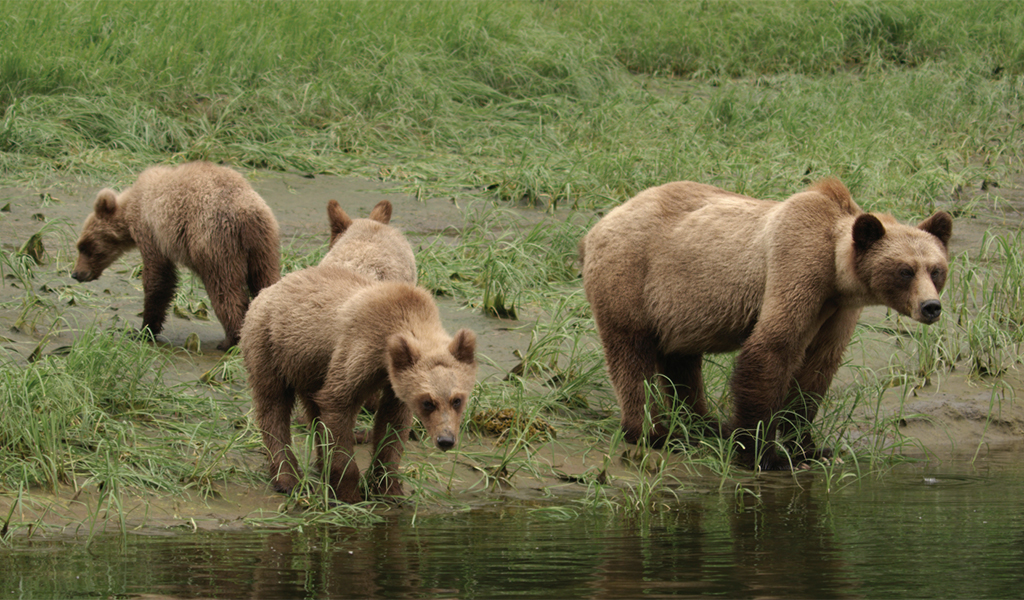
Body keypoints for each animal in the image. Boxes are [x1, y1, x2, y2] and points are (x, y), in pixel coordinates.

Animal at [71, 161, 280, 350]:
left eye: (85, 247)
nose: (76, 274)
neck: (130, 207)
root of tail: (247, 212)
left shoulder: (150, 231)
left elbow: (158, 278)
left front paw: (142, 330)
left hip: (214, 240)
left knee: (225, 288)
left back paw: (230, 340)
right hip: (263, 245)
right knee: (265, 280)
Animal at [239, 264, 477, 503]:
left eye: (457, 400)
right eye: (428, 402)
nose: (445, 440)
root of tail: (270, 289)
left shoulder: (394, 381)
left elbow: (392, 424)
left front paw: (389, 488)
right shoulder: (359, 351)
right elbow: (338, 405)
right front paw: (349, 492)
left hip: (310, 366)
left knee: (313, 408)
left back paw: (321, 468)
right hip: (271, 346)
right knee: (273, 406)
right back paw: (288, 479)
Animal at [579, 178, 952, 470]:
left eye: (936, 269)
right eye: (905, 270)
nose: (931, 307)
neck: (837, 275)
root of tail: (598, 226)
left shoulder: (838, 310)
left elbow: (817, 368)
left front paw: (809, 446)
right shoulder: (796, 265)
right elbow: (773, 348)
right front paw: (760, 452)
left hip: (680, 307)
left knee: (681, 361)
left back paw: (703, 425)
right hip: (632, 275)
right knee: (631, 352)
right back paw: (651, 432)